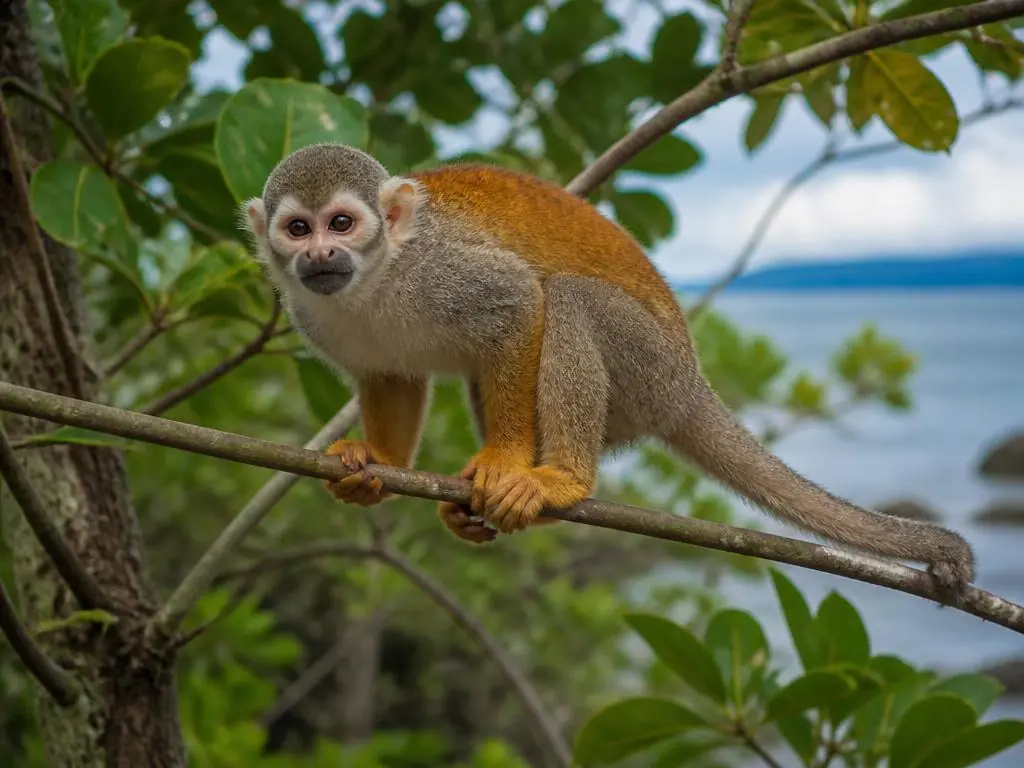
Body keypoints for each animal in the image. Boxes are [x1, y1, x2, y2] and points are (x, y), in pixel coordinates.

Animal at [241, 142, 975, 596]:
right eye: (298, 229)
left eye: (342, 222)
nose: (321, 256)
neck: (377, 276)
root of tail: (690, 383)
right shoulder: (311, 313)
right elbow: (392, 375)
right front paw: (377, 464)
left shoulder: (444, 271)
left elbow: (518, 302)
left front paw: (505, 462)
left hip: (648, 369)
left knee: (566, 298)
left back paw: (561, 483)